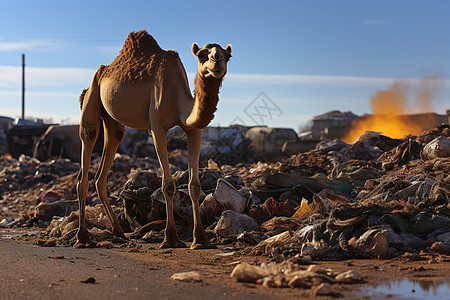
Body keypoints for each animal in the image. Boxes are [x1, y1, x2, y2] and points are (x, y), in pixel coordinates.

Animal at [75, 31, 230, 251]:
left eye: (228, 55)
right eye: (201, 55)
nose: (217, 60)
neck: (179, 101)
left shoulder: (195, 130)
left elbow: (194, 186)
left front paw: (200, 239)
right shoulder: (157, 127)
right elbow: (168, 185)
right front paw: (171, 237)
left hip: (112, 118)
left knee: (105, 162)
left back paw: (119, 232)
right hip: (92, 96)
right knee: (88, 142)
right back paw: (83, 237)